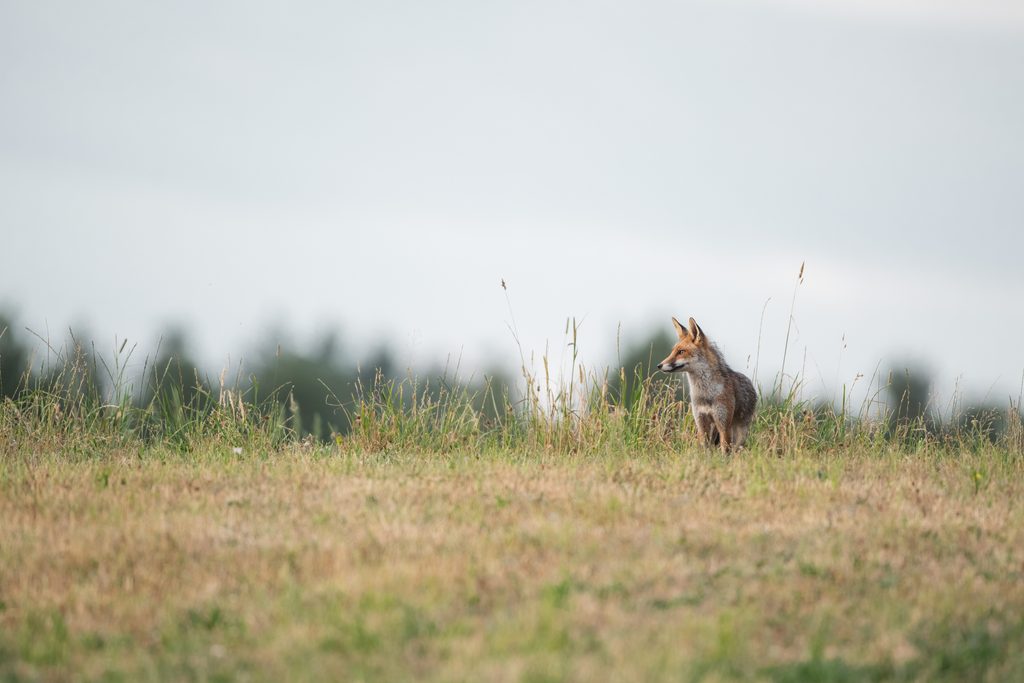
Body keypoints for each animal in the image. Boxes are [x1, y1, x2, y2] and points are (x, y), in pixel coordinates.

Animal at [657, 317, 756, 451]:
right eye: (672, 351)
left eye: (681, 352)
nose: (659, 365)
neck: (705, 394)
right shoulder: (701, 422)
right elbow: (703, 451)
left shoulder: (723, 425)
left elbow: (724, 451)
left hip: (738, 433)